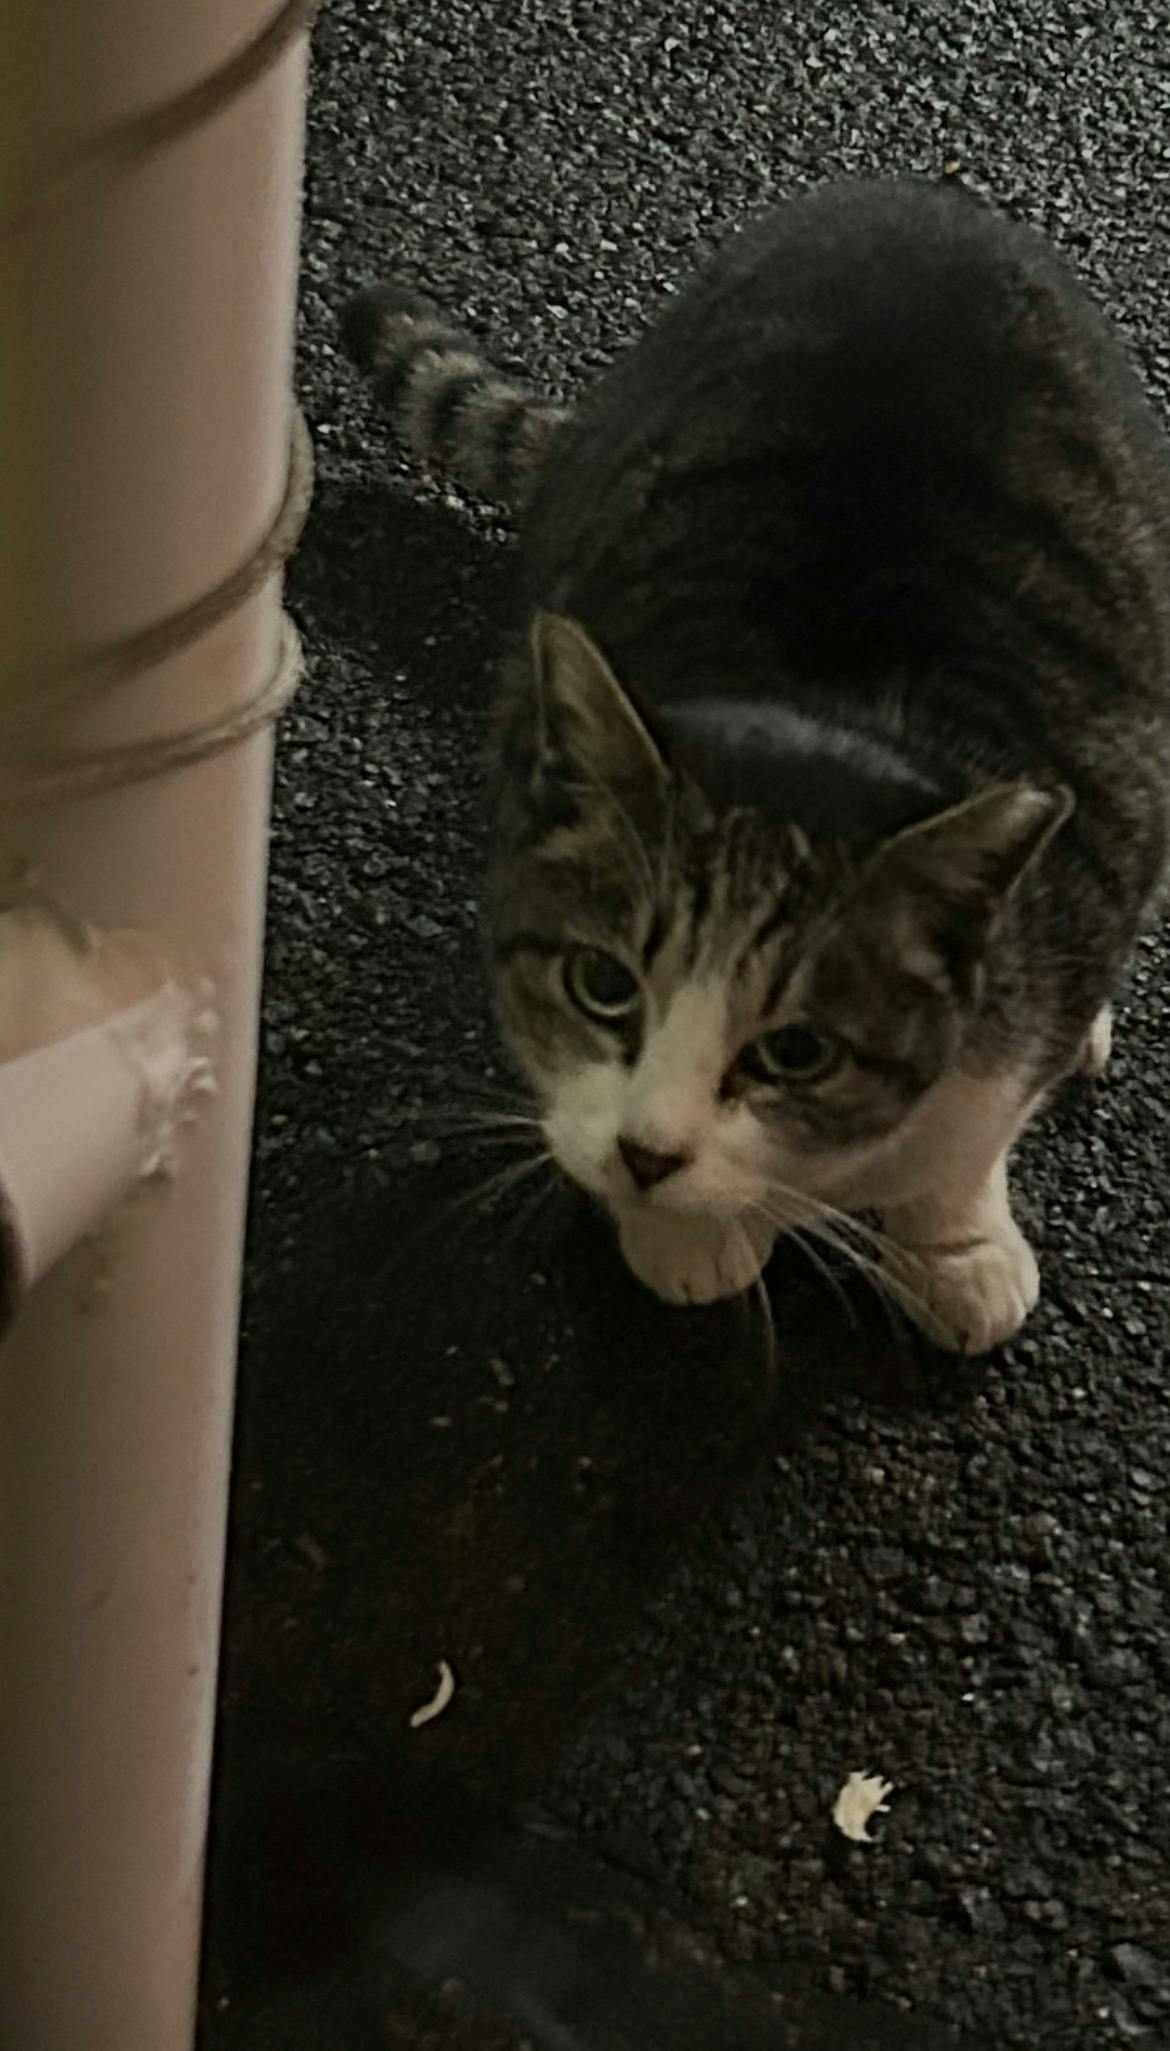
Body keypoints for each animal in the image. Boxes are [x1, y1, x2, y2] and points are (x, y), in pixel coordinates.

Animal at [342, 176, 1170, 1354]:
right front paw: (681, 1233)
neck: (819, 698)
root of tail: (914, 192)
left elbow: (971, 1129)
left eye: (796, 1053)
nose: (649, 1153)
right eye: (604, 985)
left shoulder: (1092, 855)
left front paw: (951, 1244)